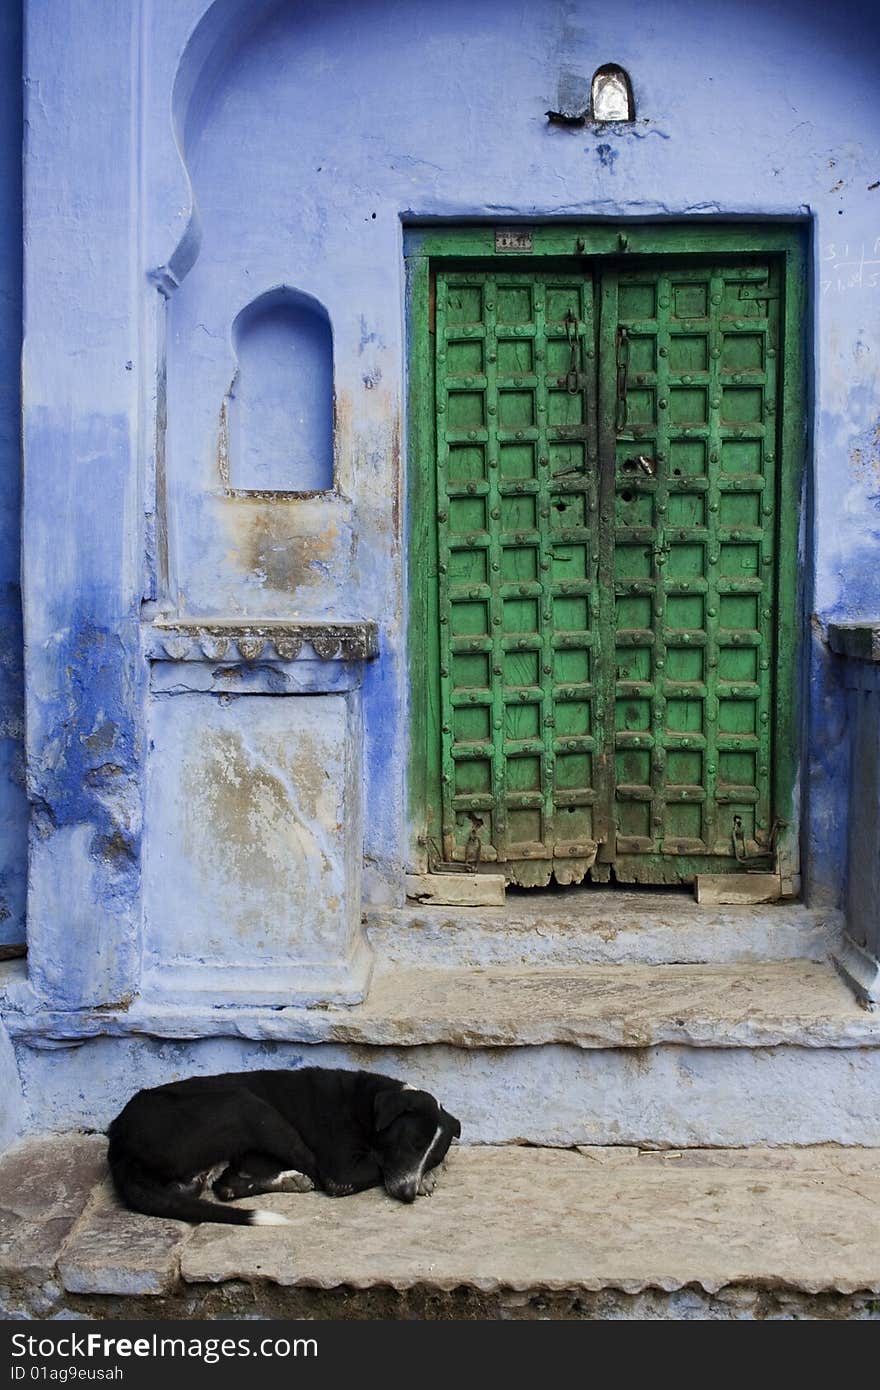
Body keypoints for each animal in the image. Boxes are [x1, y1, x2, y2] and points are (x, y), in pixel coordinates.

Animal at [109, 1067, 458, 1223]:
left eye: (432, 1157)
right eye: (411, 1144)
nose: (407, 1194)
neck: (368, 1103)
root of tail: (119, 1141)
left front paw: (429, 1177)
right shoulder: (342, 1170)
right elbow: (370, 1167)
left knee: (226, 1187)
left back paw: (286, 1180)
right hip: (247, 1105)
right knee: (312, 1171)